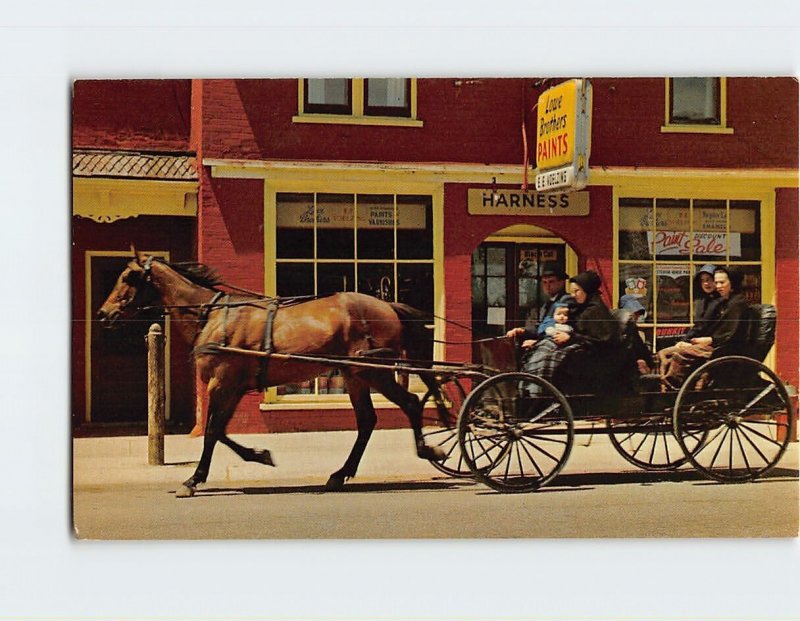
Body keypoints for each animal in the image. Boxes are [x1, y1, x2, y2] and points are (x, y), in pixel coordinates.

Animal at [97, 246, 446, 494]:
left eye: (128, 277)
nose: (103, 313)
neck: (212, 315)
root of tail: (389, 306)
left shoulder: (221, 383)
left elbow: (211, 431)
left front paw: (195, 478)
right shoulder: (234, 386)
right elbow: (219, 430)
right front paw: (257, 455)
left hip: (375, 371)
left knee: (409, 404)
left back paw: (427, 450)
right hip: (355, 374)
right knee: (367, 421)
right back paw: (340, 473)